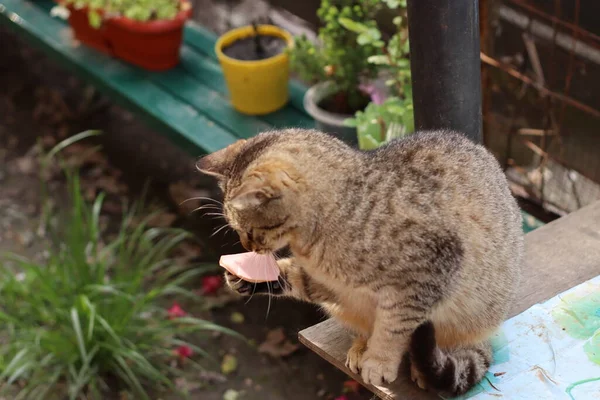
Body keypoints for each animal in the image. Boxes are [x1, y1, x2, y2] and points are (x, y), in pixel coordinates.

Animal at [197, 130, 520, 396]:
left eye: (249, 230)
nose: (246, 246)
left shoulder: (426, 274)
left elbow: (393, 328)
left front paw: (379, 362)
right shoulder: (331, 285)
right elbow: (295, 279)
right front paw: (244, 278)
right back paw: (360, 346)